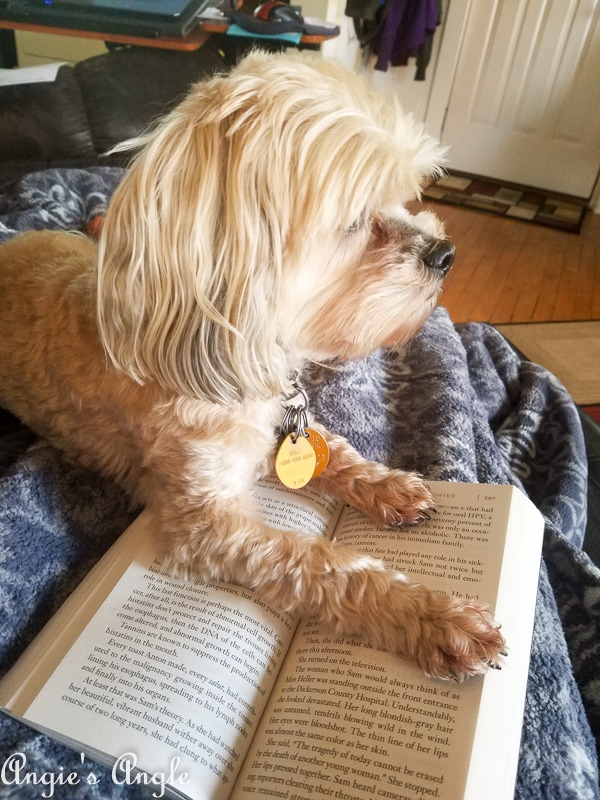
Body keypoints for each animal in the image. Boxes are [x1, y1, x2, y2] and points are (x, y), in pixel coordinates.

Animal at [1, 51, 506, 676]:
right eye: (352, 221)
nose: (446, 253)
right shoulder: (210, 523)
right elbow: (324, 563)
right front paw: (433, 616)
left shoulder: (283, 425)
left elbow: (333, 449)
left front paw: (387, 486)